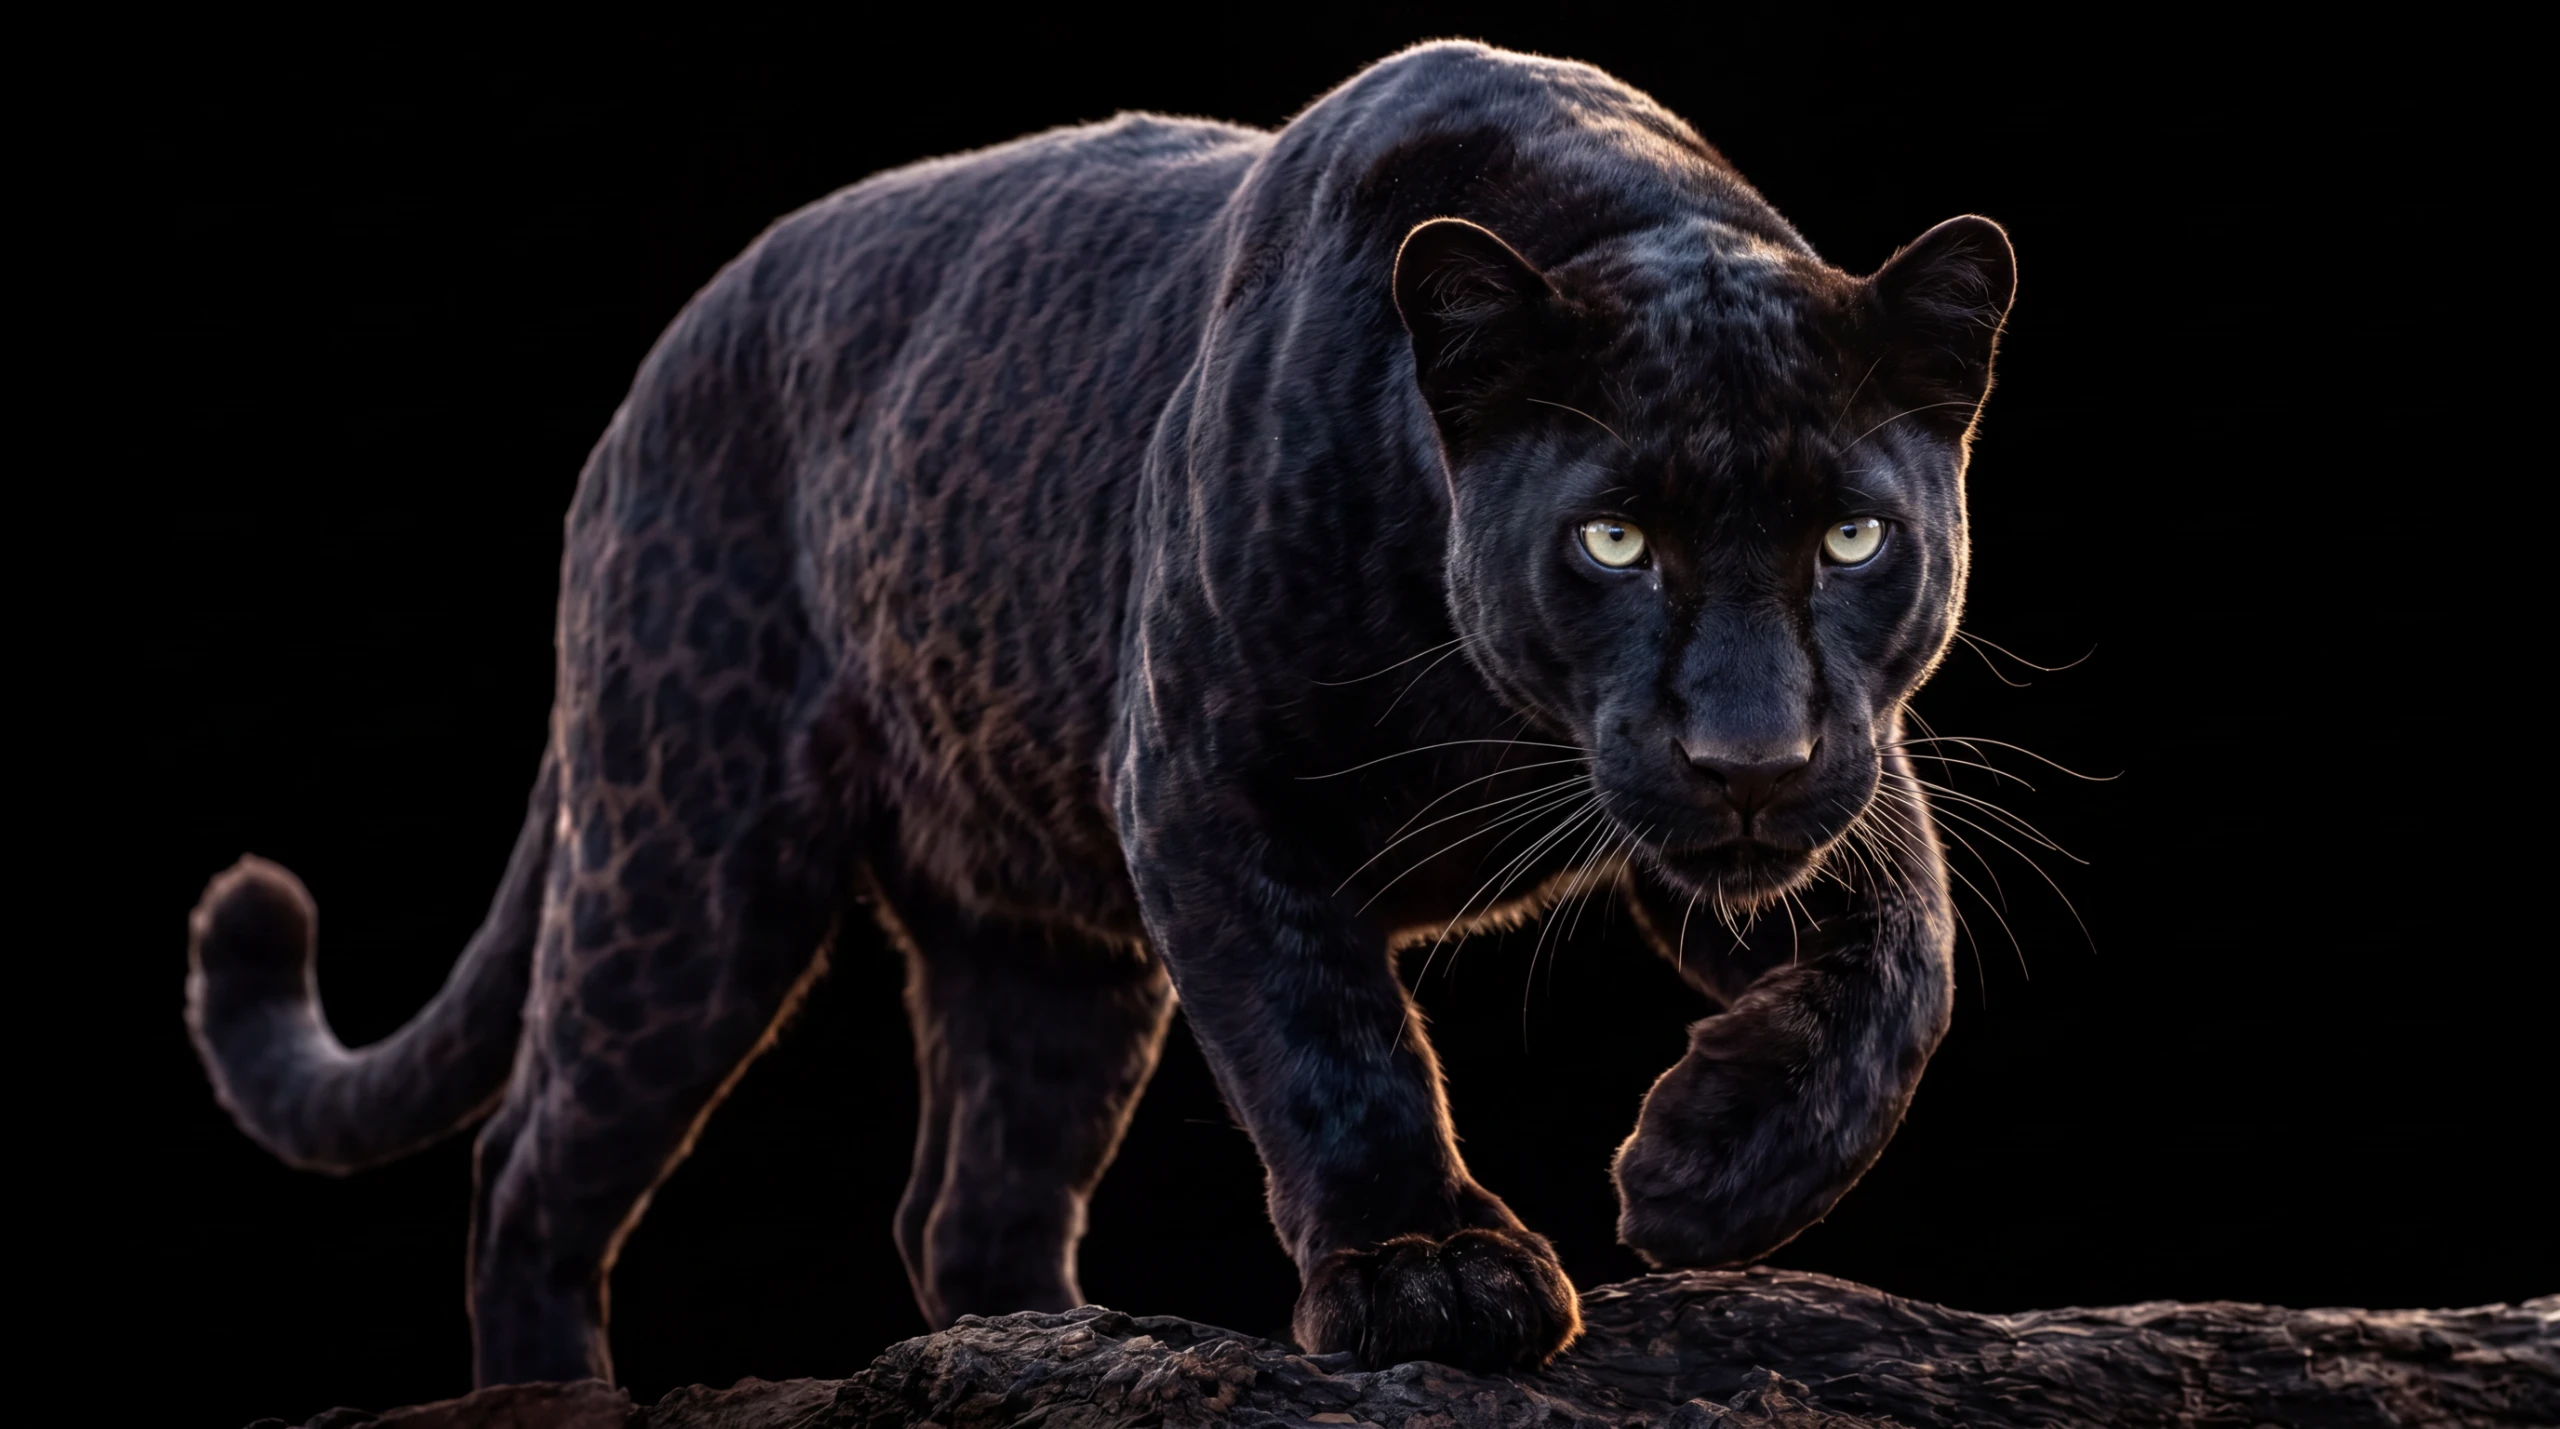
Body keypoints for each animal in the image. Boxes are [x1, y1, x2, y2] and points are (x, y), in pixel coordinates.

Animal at [187, 40, 2013, 1383]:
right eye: (1613, 539)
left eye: (1855, 536)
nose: (1747, 754)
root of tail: (659, 370)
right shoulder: (1210, 784)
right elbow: (1330, 1032)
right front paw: (1430, 1270)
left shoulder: (1812, 784)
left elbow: (1908, 966)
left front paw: (1707, 1169)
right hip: (685, 864)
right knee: (534, 1157)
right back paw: (550, 1392)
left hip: (1041, 949)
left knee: (969, 1199)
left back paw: (1054, 1343)